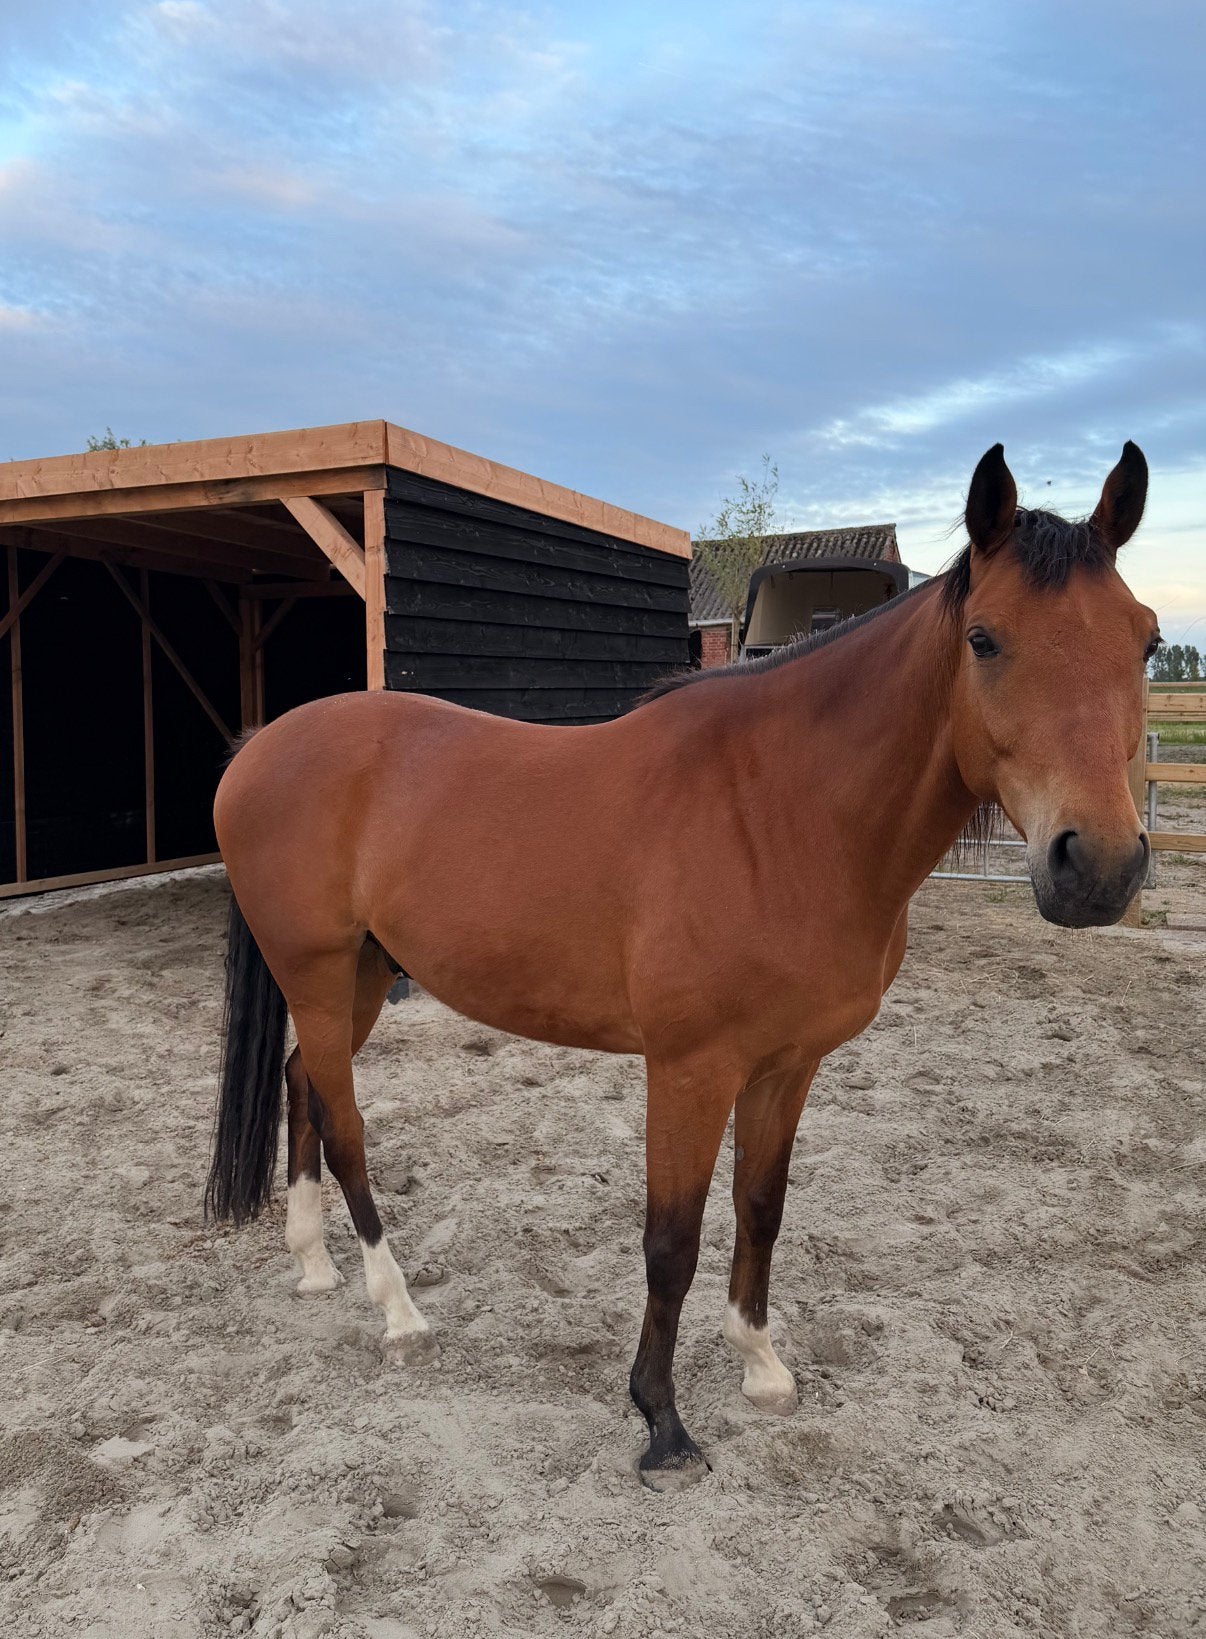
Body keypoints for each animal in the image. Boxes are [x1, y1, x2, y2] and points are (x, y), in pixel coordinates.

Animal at [206, 442, 1156, 1490]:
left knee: (302, 1081)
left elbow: (760, 1208)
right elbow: (672, 1237)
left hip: (362, 977)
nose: (1099, 867)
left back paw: (314, 1263)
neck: (780, 812)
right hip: (321, 972)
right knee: (344, 1123)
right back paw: (398, 1308)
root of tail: (260, 746)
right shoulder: (691, 1069)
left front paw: (761, 1365)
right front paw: (661, 1421)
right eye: (985, 639)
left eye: (1148, 643)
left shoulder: (788, 1065)